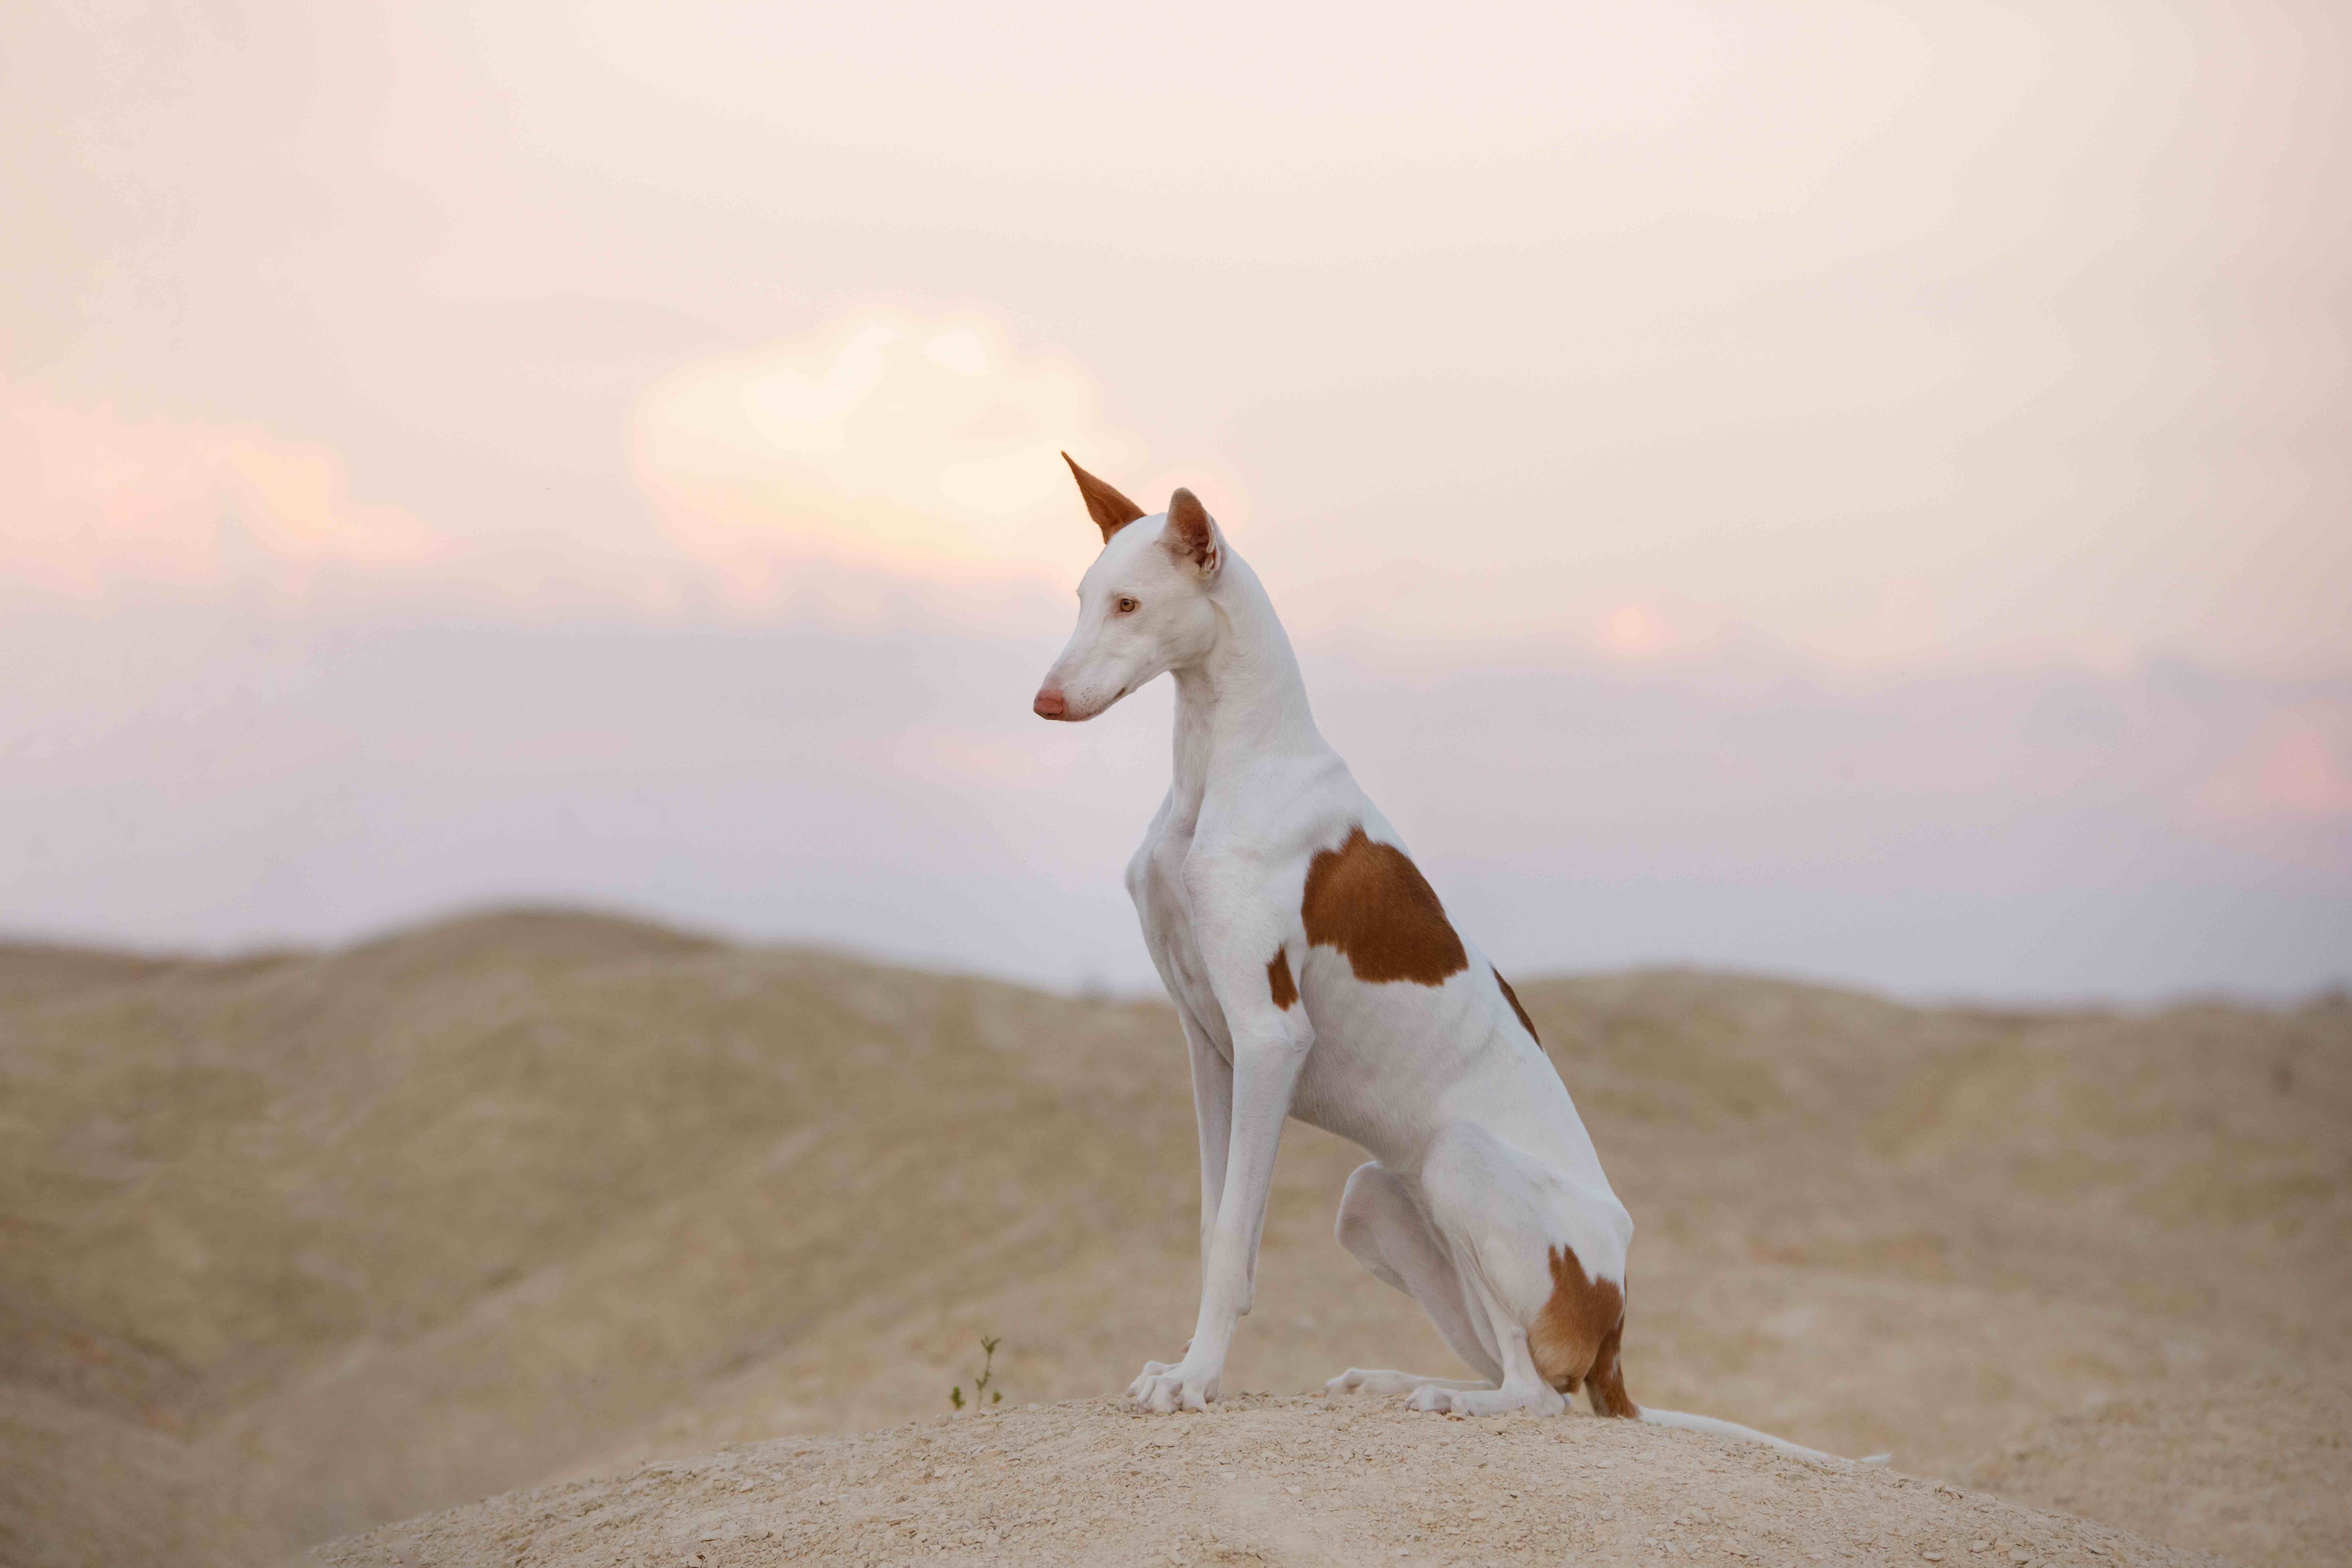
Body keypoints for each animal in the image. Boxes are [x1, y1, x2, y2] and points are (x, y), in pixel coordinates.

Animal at [1030, 461, 1853, 1467]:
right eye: (1082, 597)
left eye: (1130, 603)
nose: (1044, 701)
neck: (1224, 766)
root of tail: (1617, 1324)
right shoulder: (1209, 1045)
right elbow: (1215, 1223)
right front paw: (1192, 1363)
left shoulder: (1269, 1037)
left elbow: (1230, 1244)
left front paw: (1195, 1379)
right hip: (1376, 1201)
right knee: (1514, 1369)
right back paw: (1400, 1382)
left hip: (1463, 1167)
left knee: (1538, 1395)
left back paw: (1449, 1398)